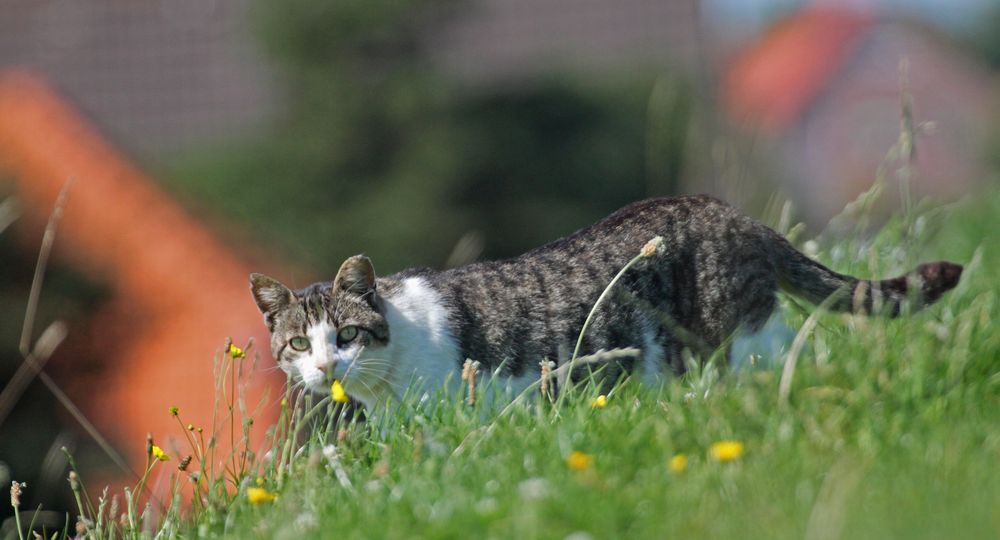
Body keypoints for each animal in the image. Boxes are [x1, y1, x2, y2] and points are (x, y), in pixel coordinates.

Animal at [248, 194, 960, 410]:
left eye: (345, 335)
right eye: (299, 343)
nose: (325, 368)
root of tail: (735, 213)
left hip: (743, 339)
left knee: (792, 360)